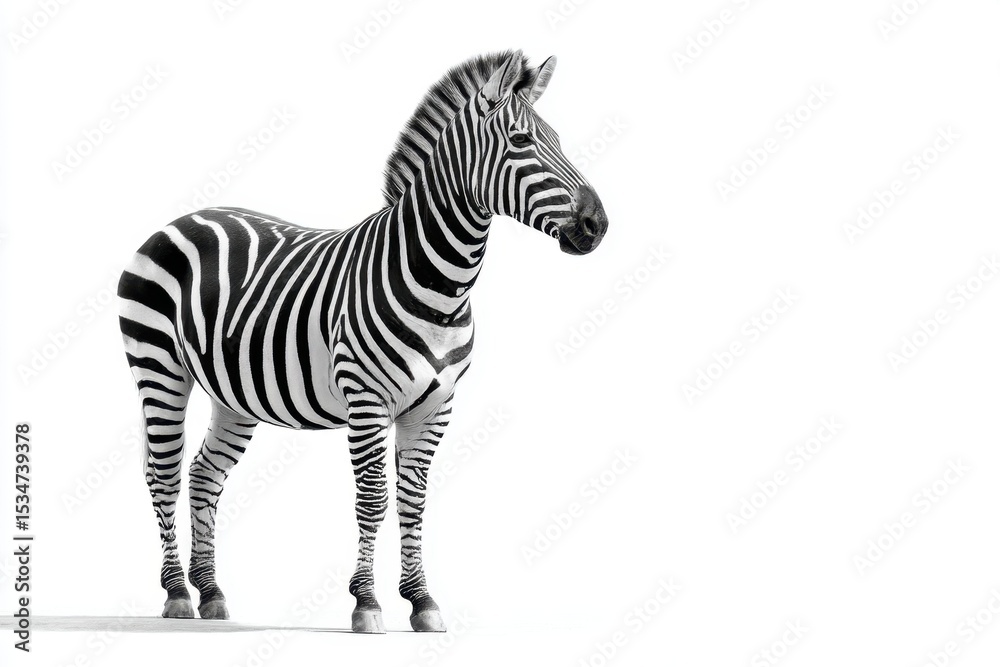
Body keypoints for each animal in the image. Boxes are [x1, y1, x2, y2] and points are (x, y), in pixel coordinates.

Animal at [117, 49, 608, 633]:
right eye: (520, 140)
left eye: (557, 138)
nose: (597, 224)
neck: (442, 285)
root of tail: (185, 216)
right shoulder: (367, 399)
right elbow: (373, 499)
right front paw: (367, 602)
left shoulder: (437, 406)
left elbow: (413, 502)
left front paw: (422, 601)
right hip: (160, 371)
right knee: (164, 475)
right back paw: (176, 594)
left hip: (230, 394)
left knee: (203, 476)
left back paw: (211, 592)